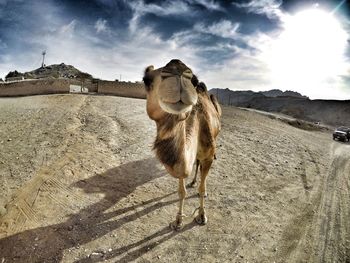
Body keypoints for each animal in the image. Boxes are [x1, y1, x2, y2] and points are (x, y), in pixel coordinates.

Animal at [142, 59, 219, 231]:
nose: (177, 69)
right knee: (196, 162)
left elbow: (202, 189)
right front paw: (178, 221)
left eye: (194, 80)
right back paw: (193, 181)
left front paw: (202, 216)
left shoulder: (208, 157)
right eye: (146, 80)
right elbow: (181, 191)